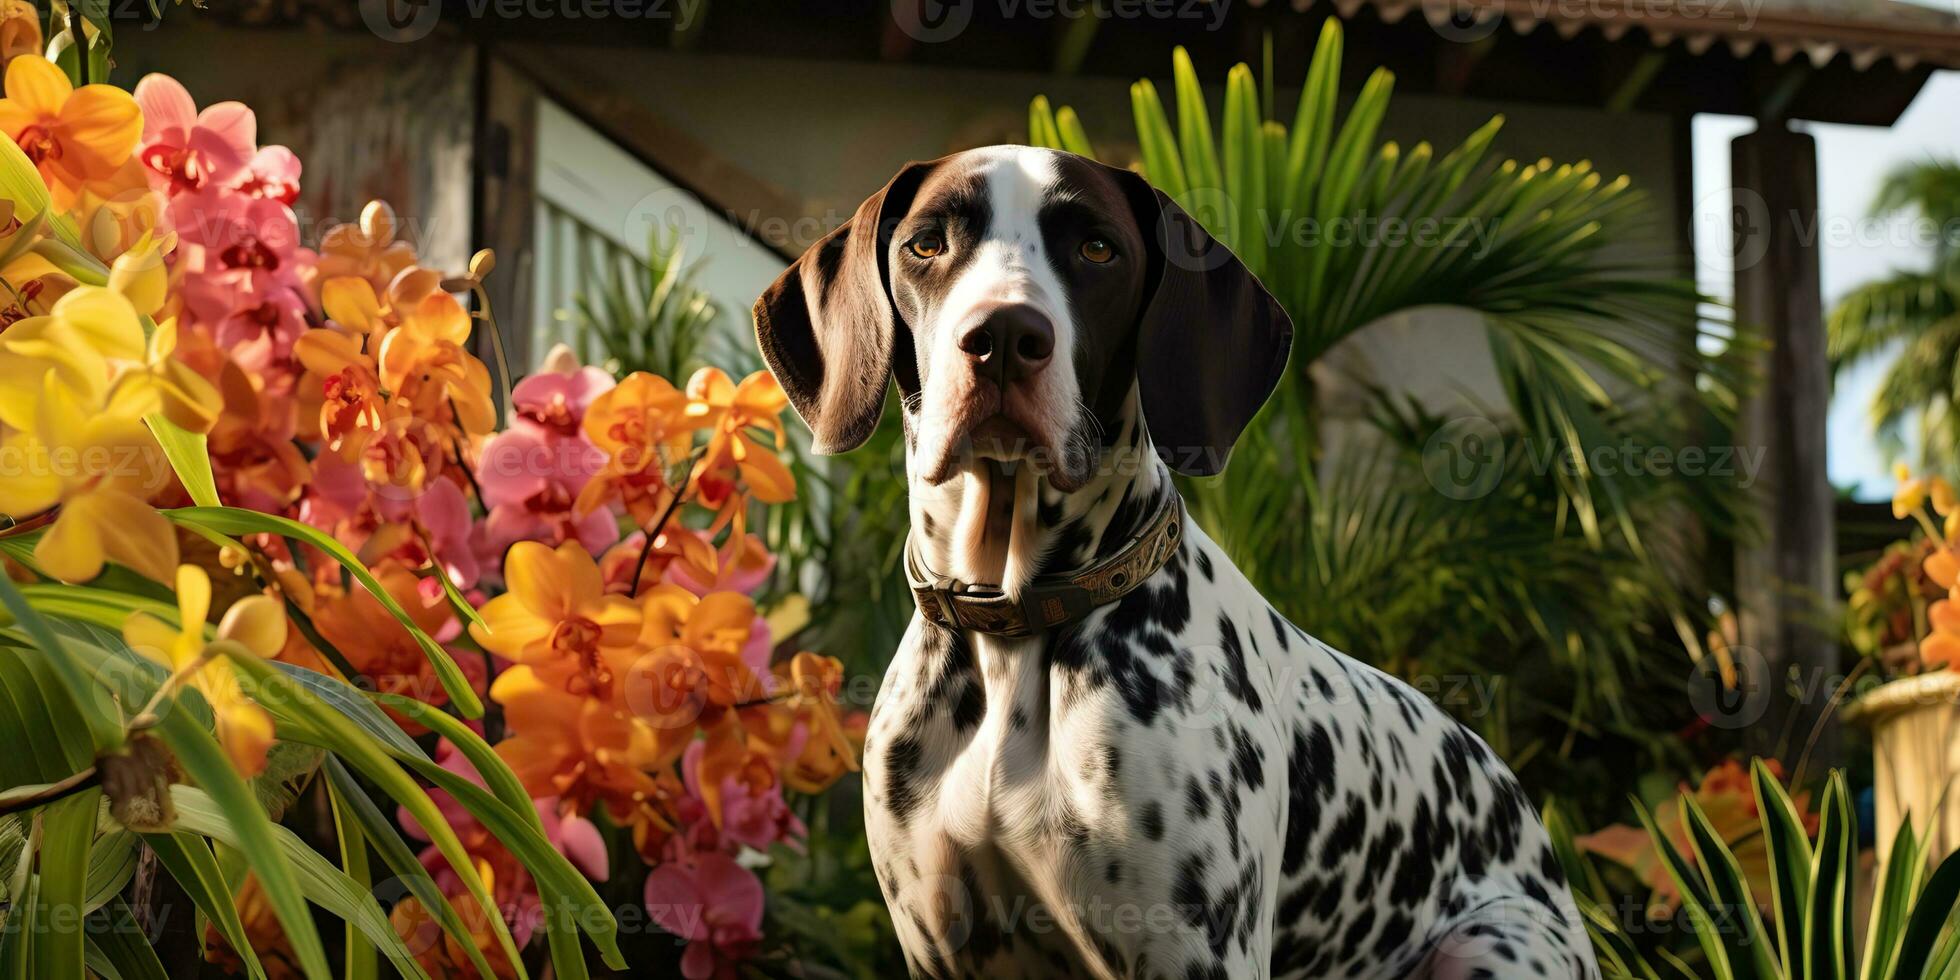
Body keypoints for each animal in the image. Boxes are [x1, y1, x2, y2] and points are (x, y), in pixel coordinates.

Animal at [748, 145, 1591, 980]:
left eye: (1097, 249)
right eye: (926, 244)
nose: (1003, 338)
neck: (1016, 625)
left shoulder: (1197, 955)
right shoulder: (939, 953)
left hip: (1493, 942)